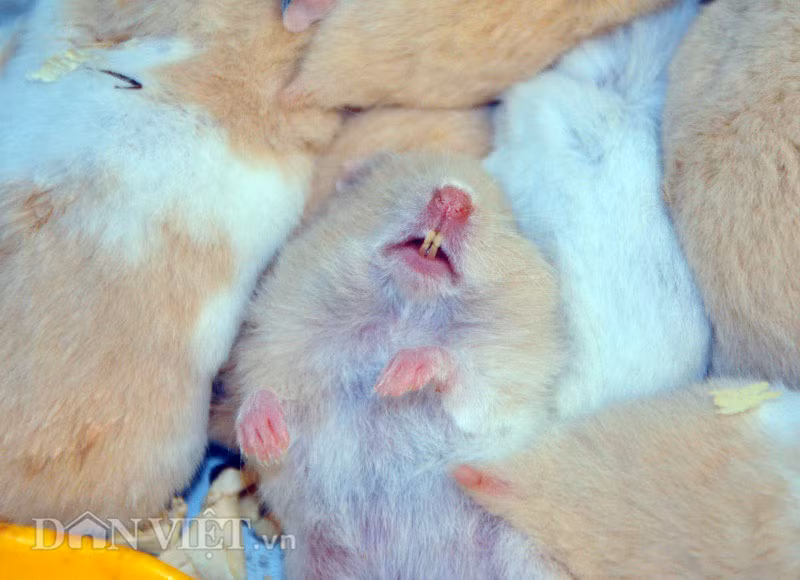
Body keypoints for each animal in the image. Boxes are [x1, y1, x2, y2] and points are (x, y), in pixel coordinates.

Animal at [226, 153, 568, 579]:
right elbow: (269, 395)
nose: (453, 198)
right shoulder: (284, 348)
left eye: (504, 216)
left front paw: (397, 377)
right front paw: (267, 437)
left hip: (519, 552)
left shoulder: (508, 388)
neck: (406, 313)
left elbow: (465, 379)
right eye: (399, 178)